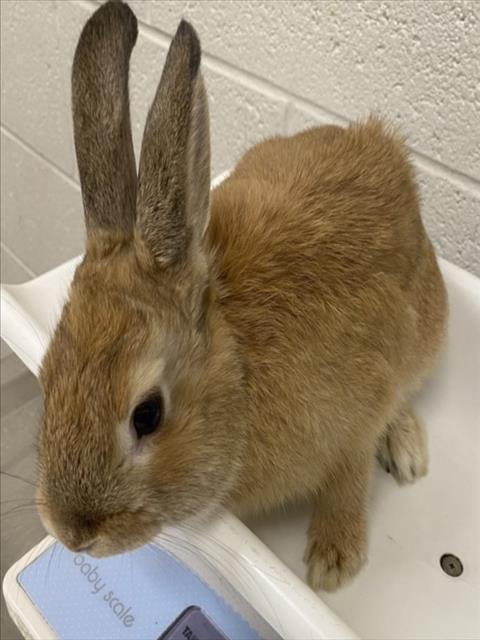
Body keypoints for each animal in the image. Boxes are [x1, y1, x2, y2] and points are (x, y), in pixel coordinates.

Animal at [37, 0, 447, 592]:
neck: (240, 368)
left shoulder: (359, 412)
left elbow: (348, 478)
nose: (72, 534)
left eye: (147, 415)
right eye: (46, 377)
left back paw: (408, 450)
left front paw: (332, 564)